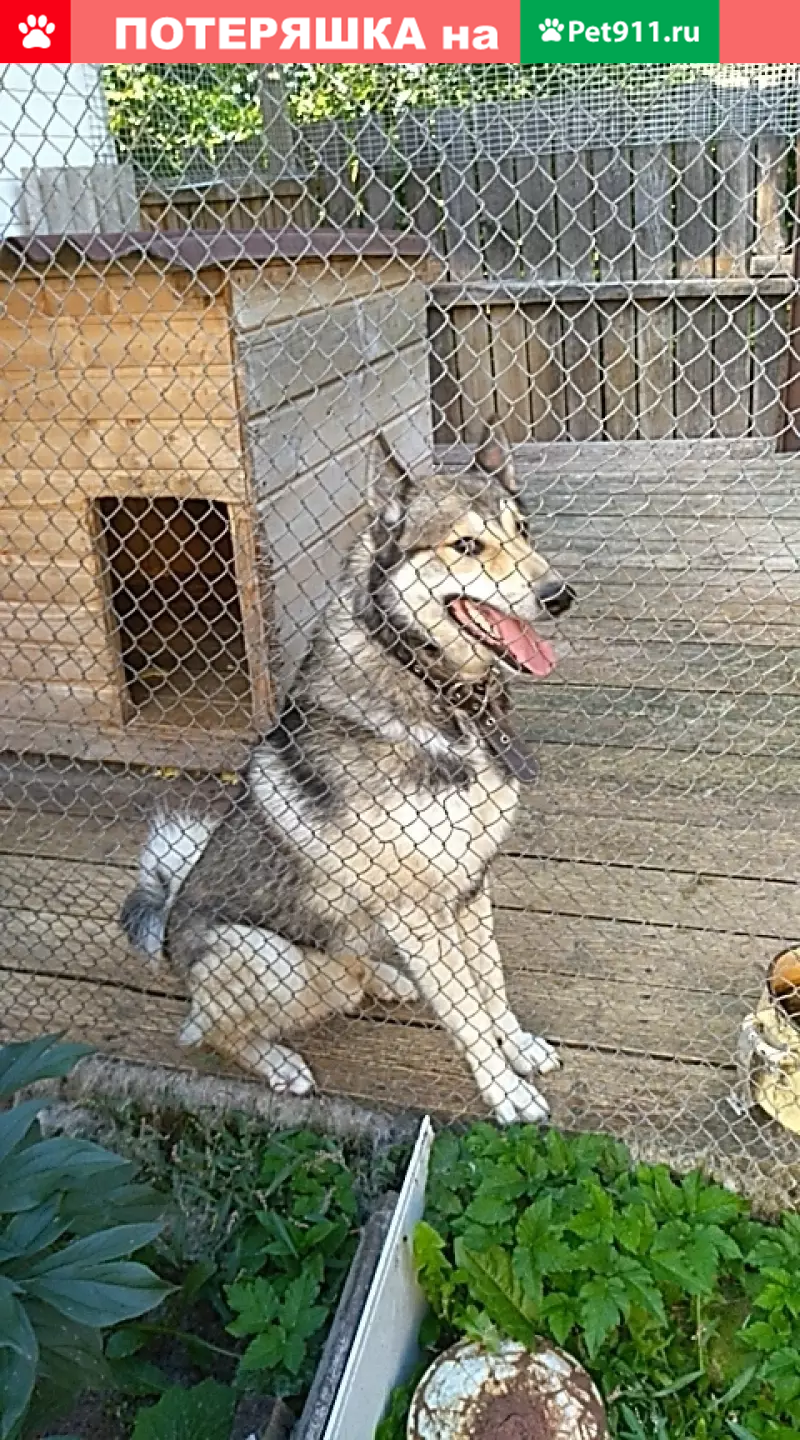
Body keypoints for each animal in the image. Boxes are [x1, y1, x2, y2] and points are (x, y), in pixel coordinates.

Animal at [121, 417, 575, 1125]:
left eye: (522, 529)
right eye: (466, 545)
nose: (559, 595)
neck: (438, 692)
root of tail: (166, 927)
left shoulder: (471, 884)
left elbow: (490, 983)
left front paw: (519, 1046)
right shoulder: (416, 908)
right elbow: (466, 1010)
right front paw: (506, 1091)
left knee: (350, 976)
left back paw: (387, 980)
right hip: (263, 954)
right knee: (208, 1030)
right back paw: (279, 1061)